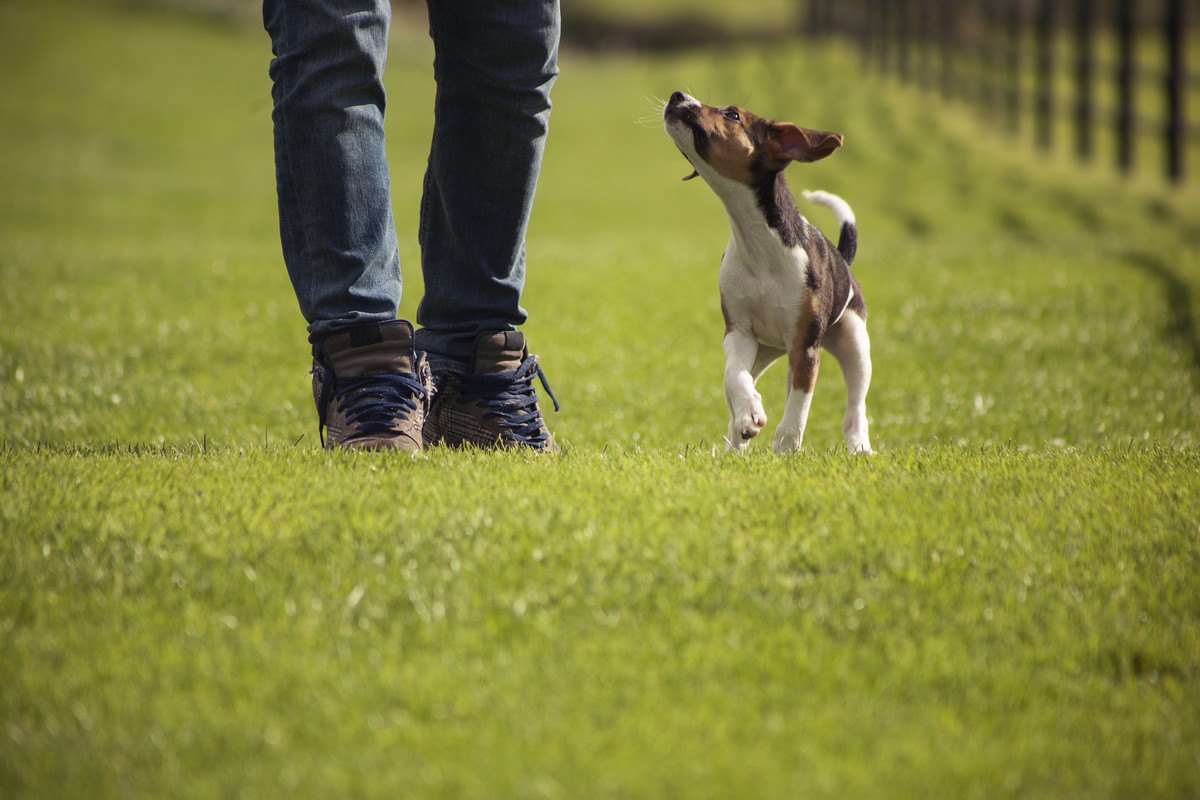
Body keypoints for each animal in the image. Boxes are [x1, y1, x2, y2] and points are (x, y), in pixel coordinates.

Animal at [662, 90, 878, 453]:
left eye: (732, 115)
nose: (678, 95)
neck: (758, 244)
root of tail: (843, 260)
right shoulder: (739, 333)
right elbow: (735, 377)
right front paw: (750, 415)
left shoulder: (806, 347)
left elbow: (799, 405)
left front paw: (786, 447)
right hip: (767, 350)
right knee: (737, 386)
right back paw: (734, 443)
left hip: (853, 342)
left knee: (855, 407)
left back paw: (859, 447)